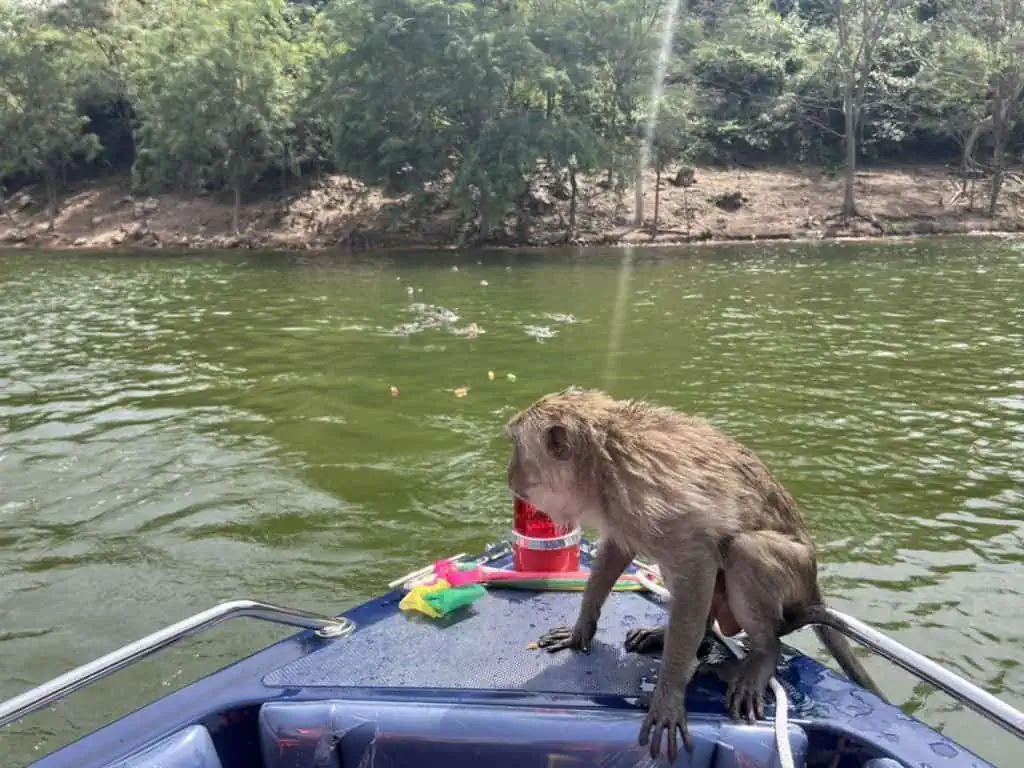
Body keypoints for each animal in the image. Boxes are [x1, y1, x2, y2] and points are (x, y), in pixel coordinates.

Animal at [503, 387, 880, 765]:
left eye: (516, 446)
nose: (509, 475)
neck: (604, 462)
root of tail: (813, 577)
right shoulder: (622, 510)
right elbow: (617, 550)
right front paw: (580, 630)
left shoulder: (655, 501)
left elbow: (698, 564)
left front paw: (668, 696)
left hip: (795, 574)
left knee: (743, 552)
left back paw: (762, 655)